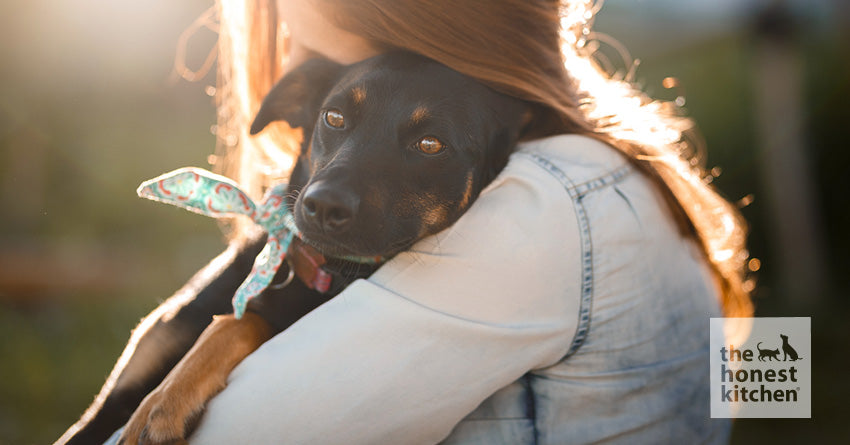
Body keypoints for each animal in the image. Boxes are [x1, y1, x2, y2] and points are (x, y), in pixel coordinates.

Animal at [56, 53, 528, 444]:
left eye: (431, 144)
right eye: (334, 117)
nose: (323, 205)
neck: (320, 269)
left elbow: (238, 323)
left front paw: (163, 403)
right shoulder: (103, 406)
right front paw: (165, 397)